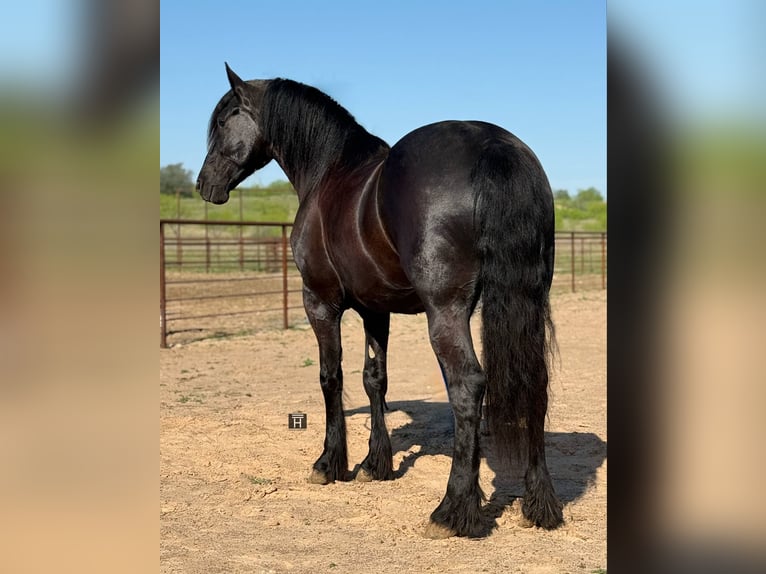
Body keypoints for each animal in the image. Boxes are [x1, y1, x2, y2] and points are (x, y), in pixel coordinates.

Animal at [197, 64, 563, 538]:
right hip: (528, 300)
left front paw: (329, 464)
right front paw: (376, 465)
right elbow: (375, 379)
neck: (328, 172)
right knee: (534, 381)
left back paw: (451, 510)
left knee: (467, 386)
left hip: (446, 312)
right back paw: (541, 506)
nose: (204, 185)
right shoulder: (375, 308)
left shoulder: (320, 302)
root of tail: (493, 145)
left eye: (224, 121)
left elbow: (330, 377)